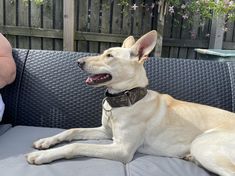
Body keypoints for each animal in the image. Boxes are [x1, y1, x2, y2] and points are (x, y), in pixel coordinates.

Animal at [26, 30, 235, 176]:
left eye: (109, 56)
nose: (78, 61)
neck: (125, 99)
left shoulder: (121, 149)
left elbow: (76, 146)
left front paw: (42, 156)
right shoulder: (106, 132)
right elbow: (72, 131)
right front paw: (46, 142)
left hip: (204, 145)